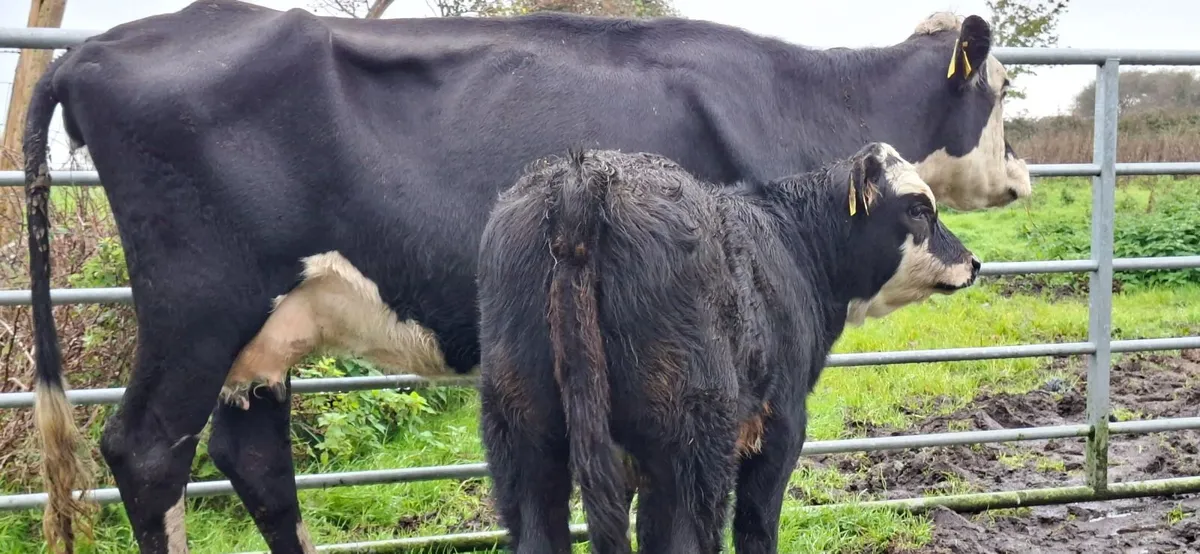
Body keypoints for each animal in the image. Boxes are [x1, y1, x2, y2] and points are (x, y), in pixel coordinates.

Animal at [474, 143, 979, 554]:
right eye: (919, 209)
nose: (973, 262)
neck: (795, 245)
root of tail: (583, 178)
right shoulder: (780, 427)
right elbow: (756, 526)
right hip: (689, 442)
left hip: (524, 436)